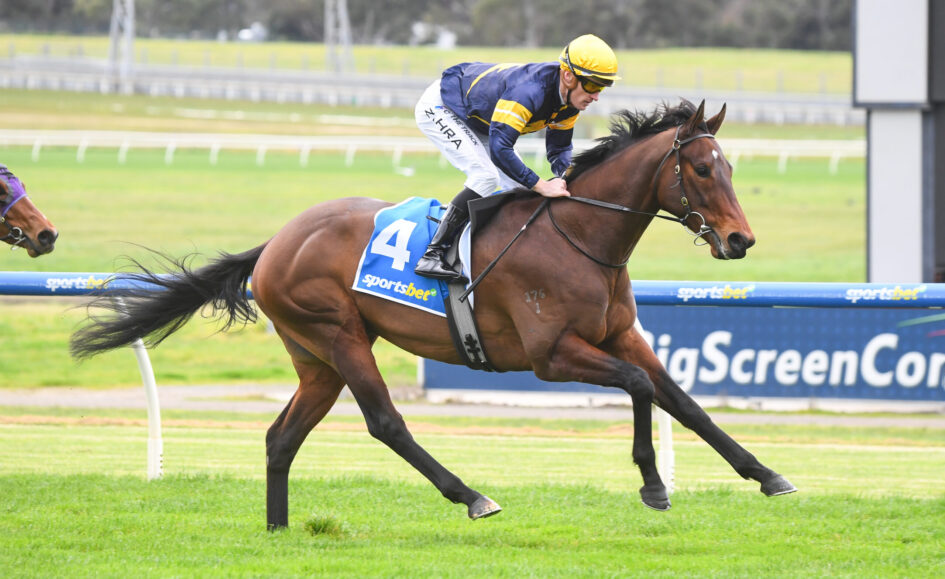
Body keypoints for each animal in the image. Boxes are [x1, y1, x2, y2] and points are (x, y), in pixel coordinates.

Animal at [71, 99, 796, 530]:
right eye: (700, 169)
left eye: (730, 167)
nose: (740, 240)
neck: (580, 236)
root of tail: (275, 242)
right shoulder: (551, 355)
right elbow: (642, 387)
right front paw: (651, 483)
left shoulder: (620, 335)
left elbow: (685, 401)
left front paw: (766, 476)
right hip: (339, 335)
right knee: (385, 422)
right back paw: (471, 495)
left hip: (316, 358)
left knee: (282, 436)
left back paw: (278, 527)